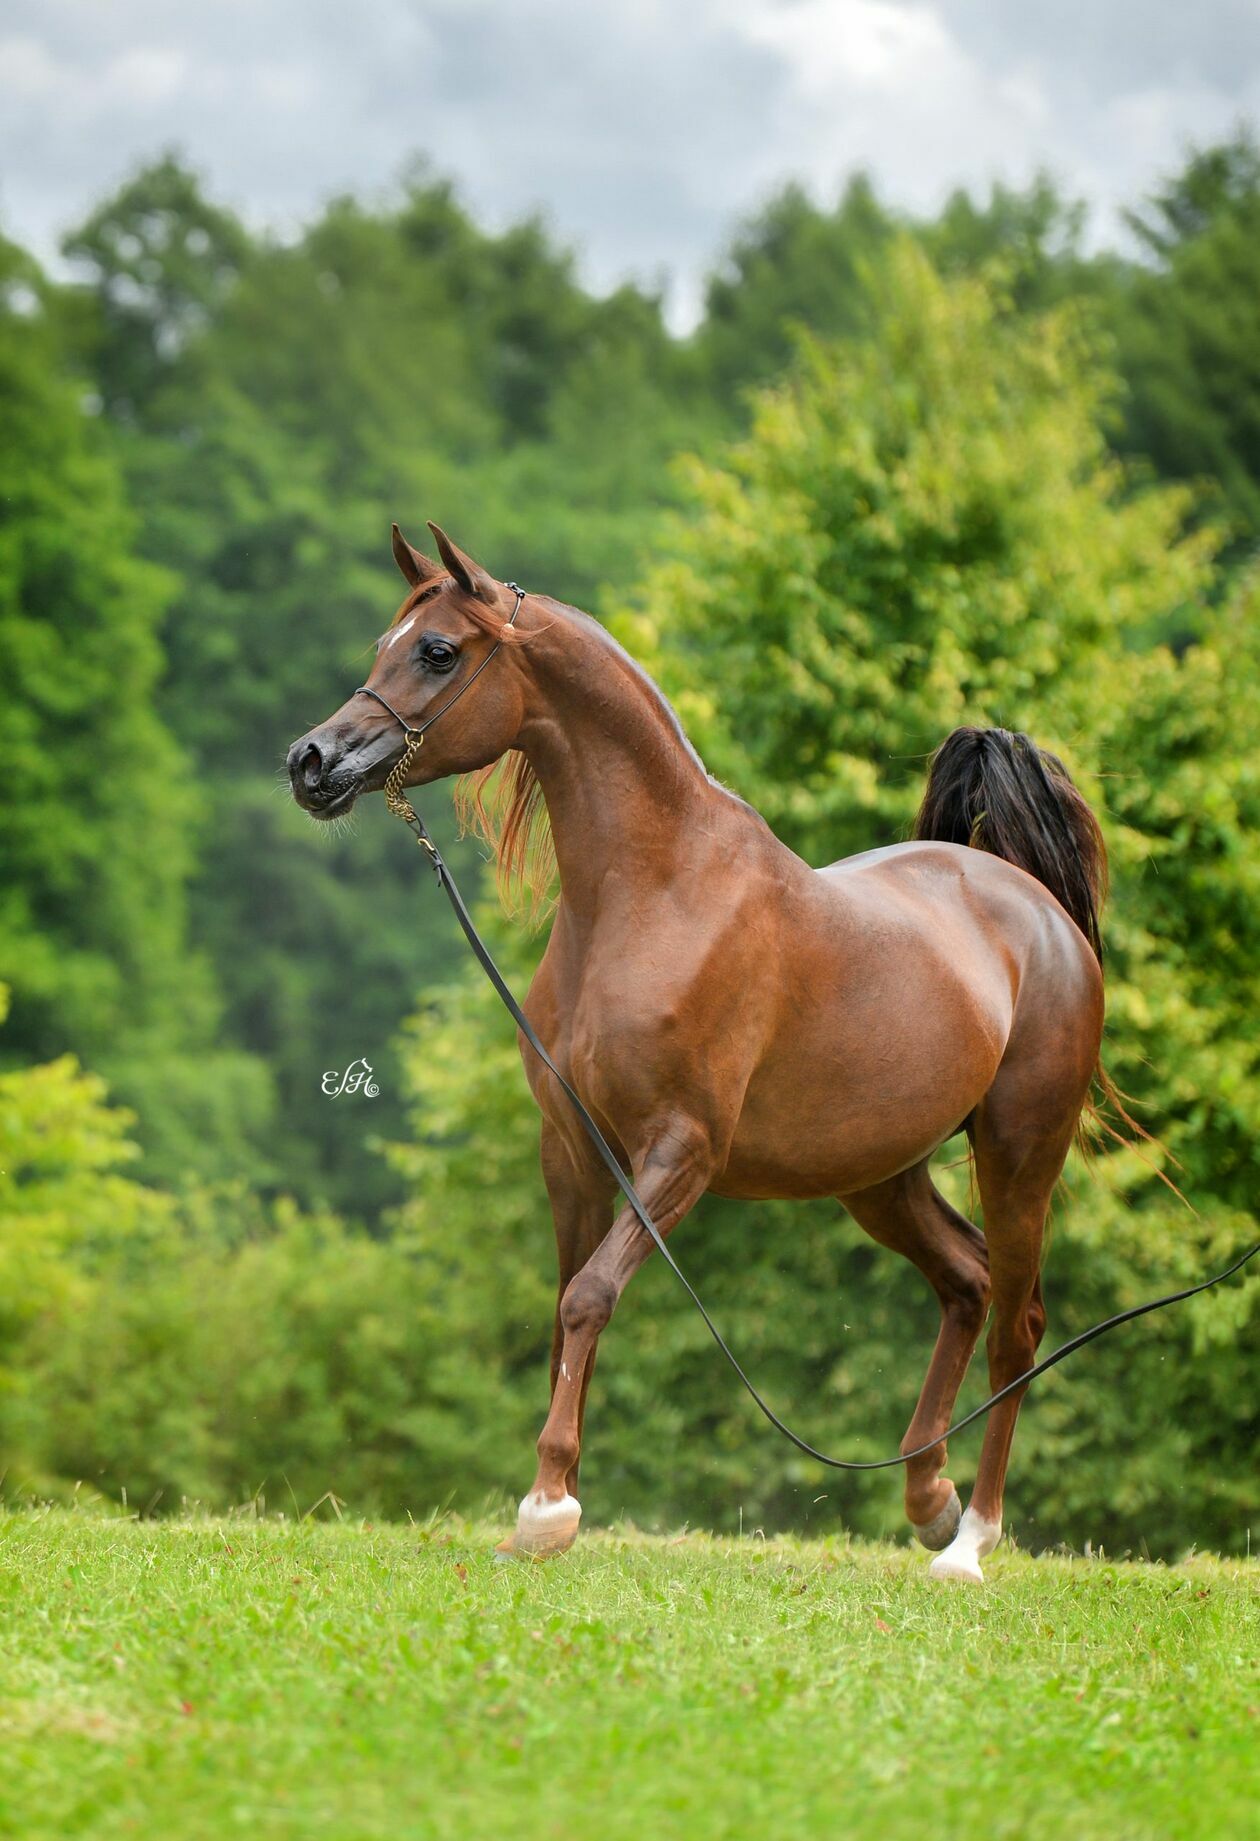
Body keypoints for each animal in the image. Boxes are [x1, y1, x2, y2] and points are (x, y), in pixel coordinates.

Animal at [285, 522, 1105, 1583]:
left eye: (436, 651)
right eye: (386, 641)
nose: (311, 761)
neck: (658, 894)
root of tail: (1036, 910)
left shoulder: (682, 1153)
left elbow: (591, 1296)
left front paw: (546, 1507)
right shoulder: (575, 1152)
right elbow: (567, 1304)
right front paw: (554, 1499)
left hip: (1017, 1158)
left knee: (1018, 1323)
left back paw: (968, 1544)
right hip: (878, 1177)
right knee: (965, 1282)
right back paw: (928, 1499)